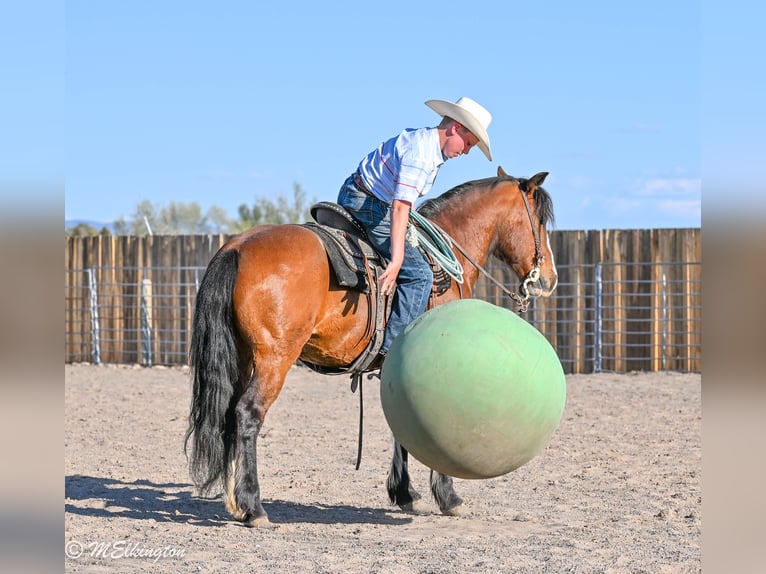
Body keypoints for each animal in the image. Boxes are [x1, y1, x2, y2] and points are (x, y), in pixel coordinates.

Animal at [185, 166, 558, 526]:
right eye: (539, 221)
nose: (549, 279)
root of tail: (237, 247)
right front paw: (448, 497)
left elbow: (401, 427)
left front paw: (405, 493)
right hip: (274, 358)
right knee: (248, 414)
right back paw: (253, 507)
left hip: (243, 356)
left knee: (229, 415)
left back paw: (234, 502)